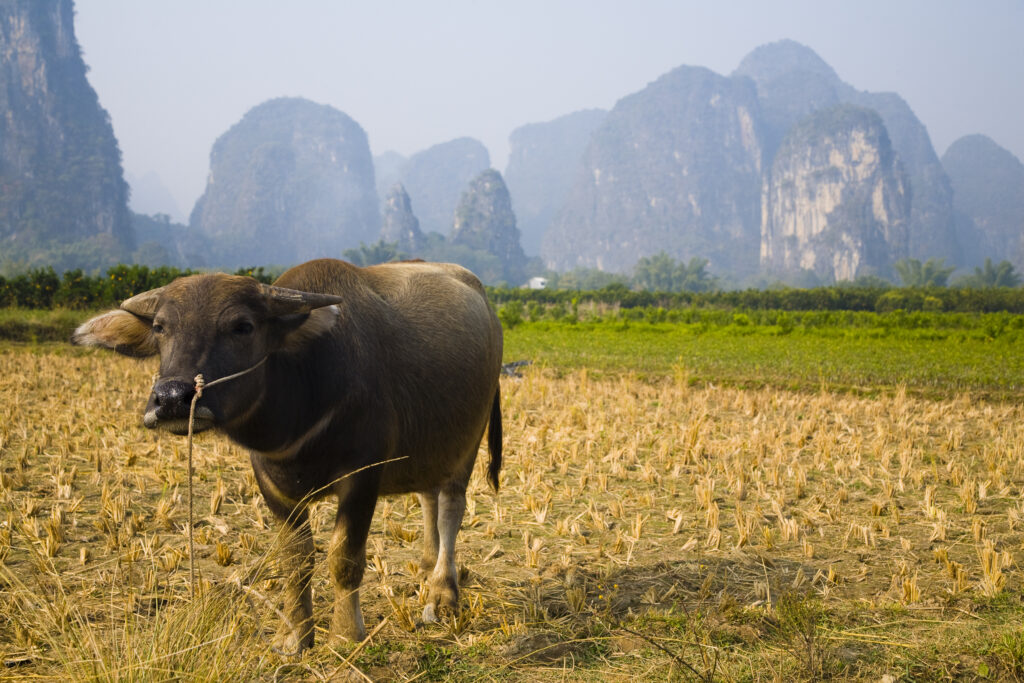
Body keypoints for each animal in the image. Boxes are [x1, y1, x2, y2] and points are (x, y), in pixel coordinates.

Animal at [72, 258, 503, 652]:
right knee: (428, 497)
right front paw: (294, 636)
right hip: (428, 450)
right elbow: (294, 561)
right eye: (161, 327)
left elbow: (344, 558)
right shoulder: (271, 485)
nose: (173, 398)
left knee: (450, 509)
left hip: (468, 443)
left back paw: (442, 592)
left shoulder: (363, 476)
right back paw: (427, 567)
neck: (302, 392)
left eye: (242, 326)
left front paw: (346, 634)